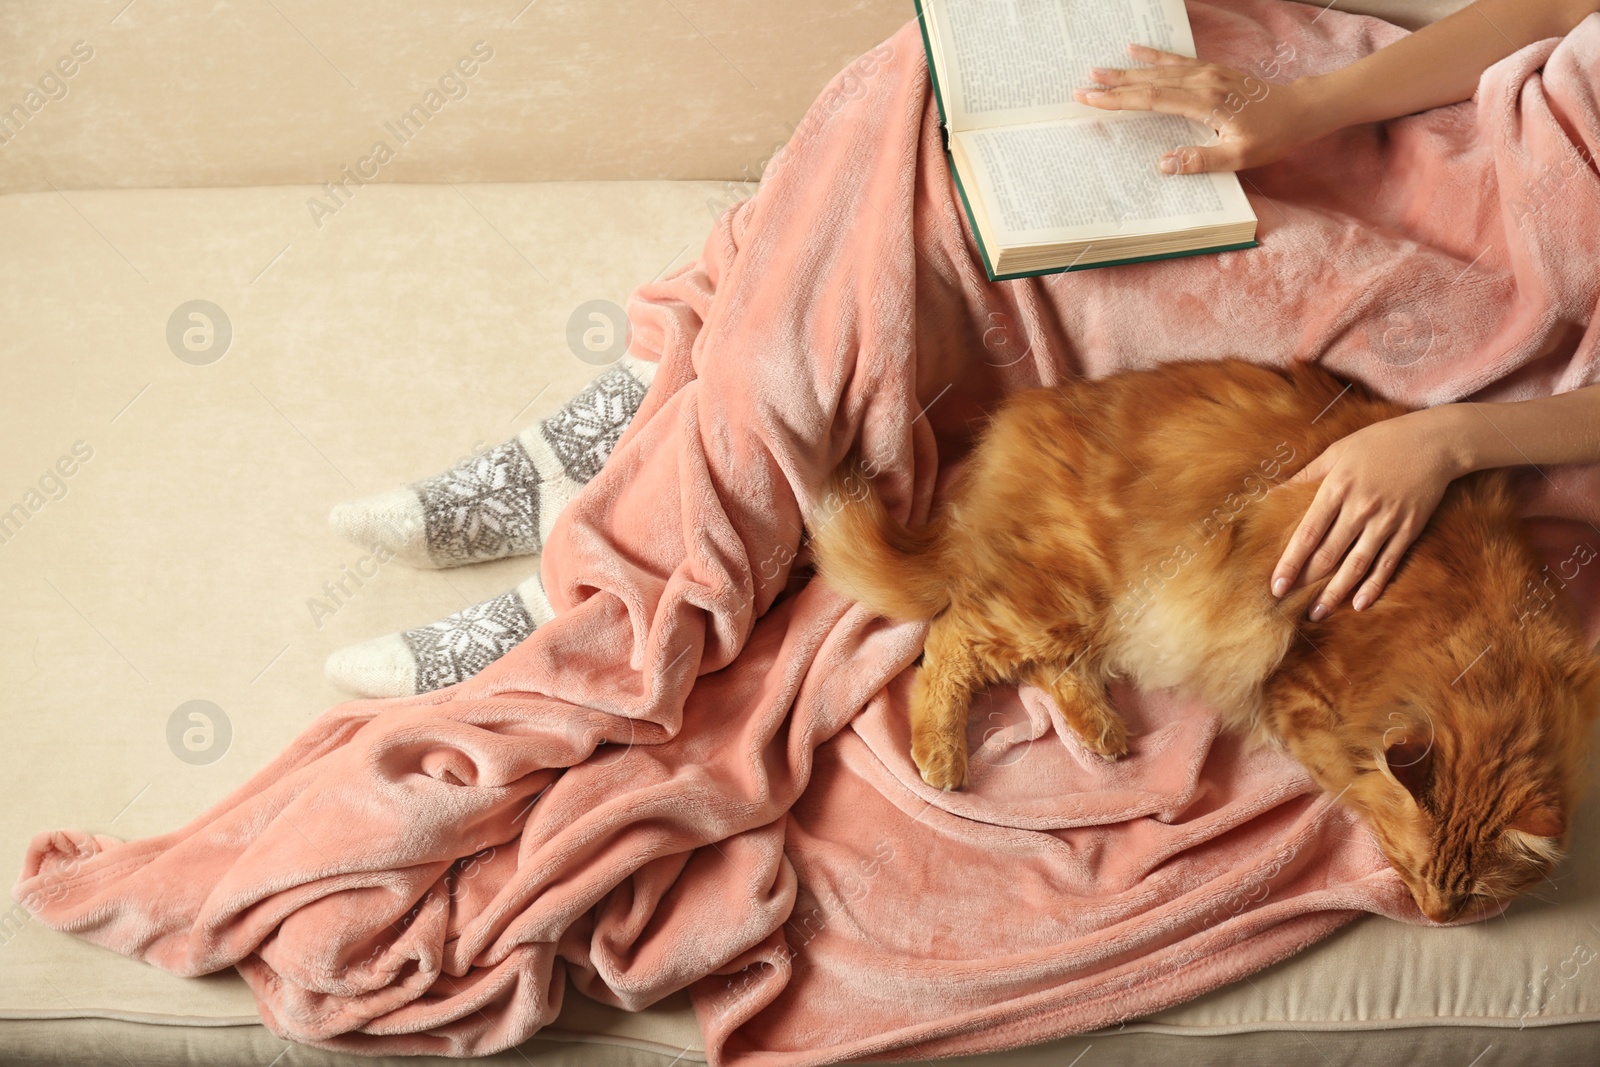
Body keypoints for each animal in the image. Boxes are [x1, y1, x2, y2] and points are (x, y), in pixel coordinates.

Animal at [812, 361, 1600, 927]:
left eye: (1472, 895)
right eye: (1421, 870)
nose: (1439, 918)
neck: (1484, 655)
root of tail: (1014, 426)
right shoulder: (1299, 687)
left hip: (1084, 609)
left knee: (1048, 666)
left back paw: (1103, 733)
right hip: (1067, 593)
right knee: (953, 637)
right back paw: (942, 754)